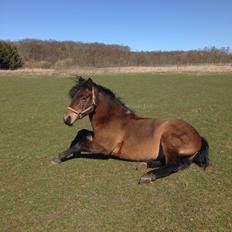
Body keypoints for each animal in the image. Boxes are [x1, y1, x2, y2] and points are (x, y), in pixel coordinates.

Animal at [52, 77, 208, 184]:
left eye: (84, 97)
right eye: (73, 96)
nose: (67, 119)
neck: (112, 120)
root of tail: (198, 136)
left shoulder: (104, 148)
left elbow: (81, 144)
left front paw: (59, 157)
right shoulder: (96, 138)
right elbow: (82, 133)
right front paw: (71, 149)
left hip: (168, 139)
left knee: (173, 165)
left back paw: (148, 176)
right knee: (172, 163)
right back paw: (144, 164)